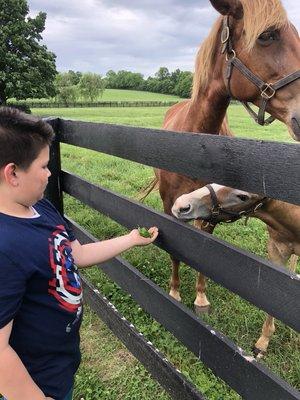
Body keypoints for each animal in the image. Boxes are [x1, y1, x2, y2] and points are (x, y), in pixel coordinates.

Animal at [144, 0, 300, 312]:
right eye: (266, 36)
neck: (195, 147)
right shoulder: (171, 206)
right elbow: (176, 253)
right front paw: (175, 292)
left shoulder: (211, 207)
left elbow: (207, 251)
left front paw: (201, 296)